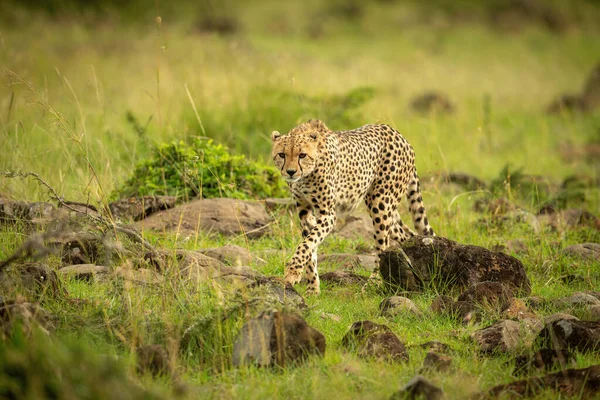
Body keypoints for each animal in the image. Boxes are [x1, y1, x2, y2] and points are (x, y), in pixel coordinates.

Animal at [274, 119, 436, 294]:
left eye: (302, 155)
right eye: (282, 154)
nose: (290, 172)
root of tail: (399, 135)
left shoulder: (328, 213)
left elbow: (307, 243)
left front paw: (293, 271)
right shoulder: (304, 211)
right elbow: (310, 247)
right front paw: (312, 288)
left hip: (380, 204)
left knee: (382, 246)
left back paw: (374, 283)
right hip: (387, 211)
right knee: (407, 236)